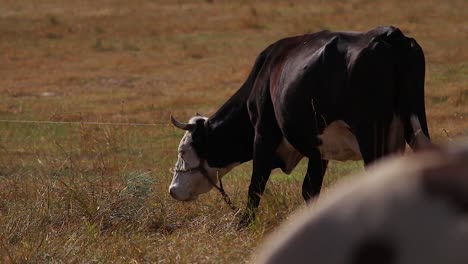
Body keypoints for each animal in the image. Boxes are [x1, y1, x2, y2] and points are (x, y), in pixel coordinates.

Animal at [170, 25, 430, 226]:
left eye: (182, 151)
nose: (173, 189)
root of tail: (389, 34)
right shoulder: (319, 148)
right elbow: (310, 189)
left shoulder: (263, 135)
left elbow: (256, 184)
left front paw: (244, 223)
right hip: (414, 125)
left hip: (370, 134)